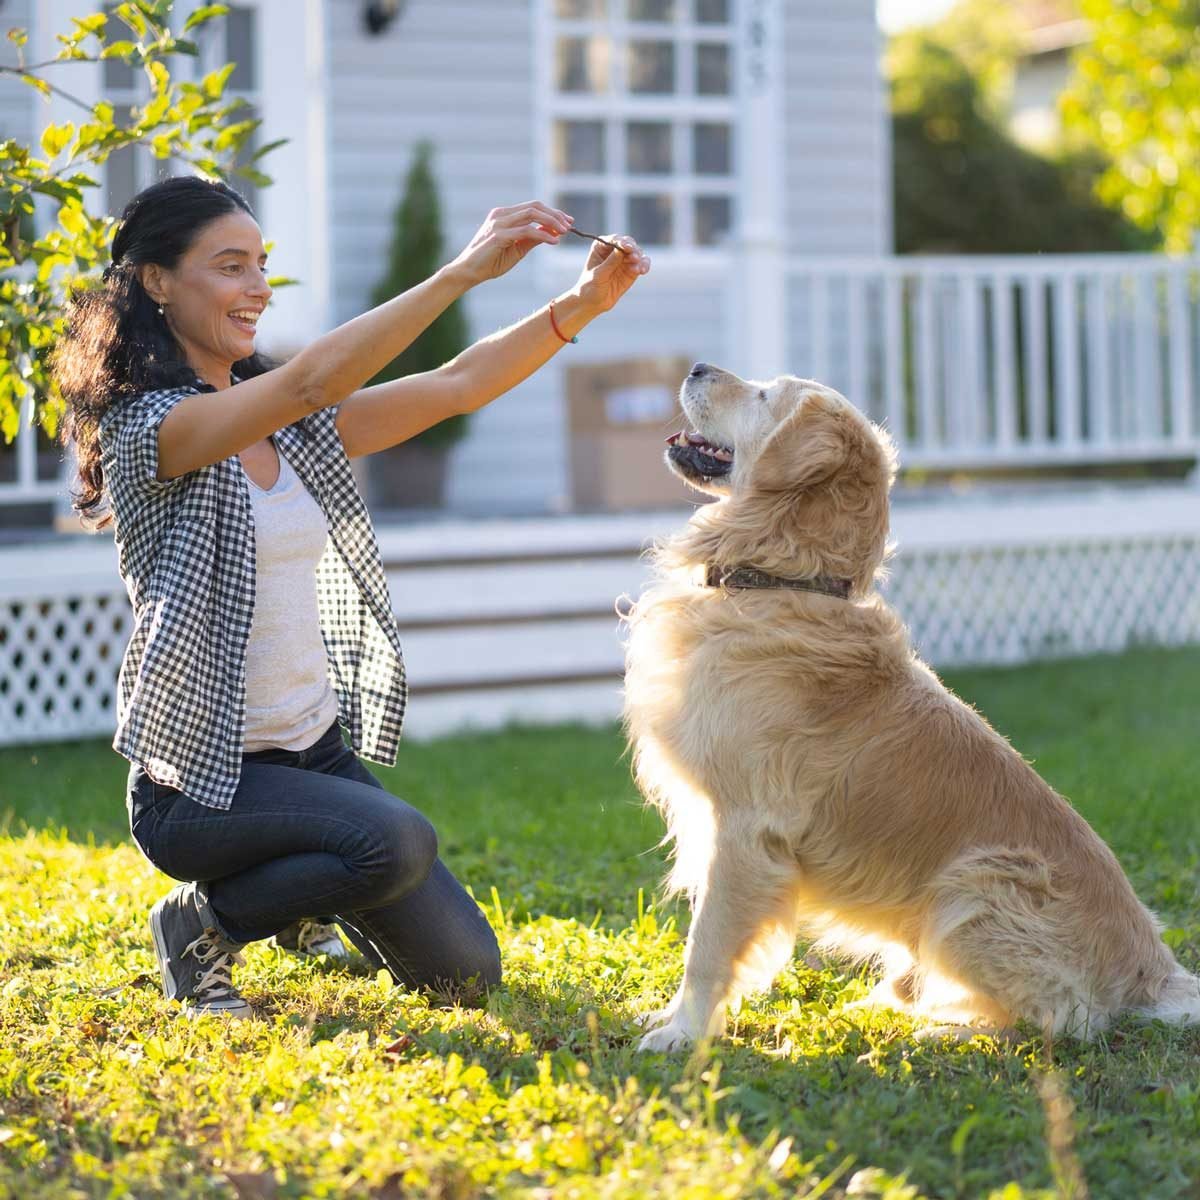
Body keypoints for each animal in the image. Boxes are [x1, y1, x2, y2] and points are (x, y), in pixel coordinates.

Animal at [624, 362, 1195, 1051]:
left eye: (764, 395)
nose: (696, 367)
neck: (782, 581)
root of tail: (1153, 971)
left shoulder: (745, 827)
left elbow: (706, 945)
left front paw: (681, 1034)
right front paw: (668, 1018)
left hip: (974, 888)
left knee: (1061, 1021)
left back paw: (938, 1031)